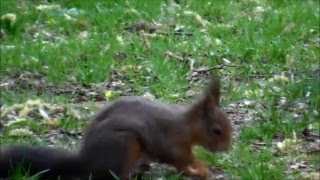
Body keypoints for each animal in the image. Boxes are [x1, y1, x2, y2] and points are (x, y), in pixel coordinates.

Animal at [0, 76, 231, 179]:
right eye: (216, 130)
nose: (226, 148)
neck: (187, 127)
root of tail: (87, 160)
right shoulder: (172, 143)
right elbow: (181, 160)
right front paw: (200, 170)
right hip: (125, 144)